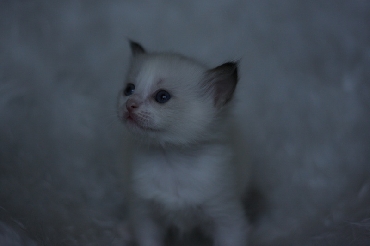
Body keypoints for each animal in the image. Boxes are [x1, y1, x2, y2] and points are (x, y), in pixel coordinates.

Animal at [116, 41, 249, 245]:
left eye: (162, 97)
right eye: (129, 89)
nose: (130, 104)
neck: (170, 158)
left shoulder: (226, 215)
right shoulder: (146, 213)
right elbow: (148, 239)